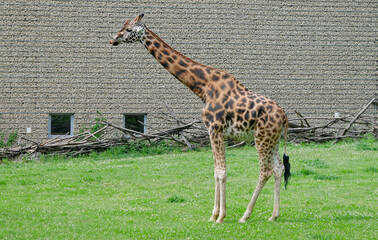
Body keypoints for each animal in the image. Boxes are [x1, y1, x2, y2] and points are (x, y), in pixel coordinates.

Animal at [110, 13, 292, 223]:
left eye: (129, 29)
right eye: (122, 26)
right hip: (272, 139)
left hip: (262, 137)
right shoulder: (213, 131)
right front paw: (213, 215)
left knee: (265, 171)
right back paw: (273, 215)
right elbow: (215, 171)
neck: (203, 87)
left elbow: (221, 172)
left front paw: (220, 217)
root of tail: (284, 116)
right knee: (278, 169)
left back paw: (245, 215)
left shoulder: (215, 128)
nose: (112, 39)